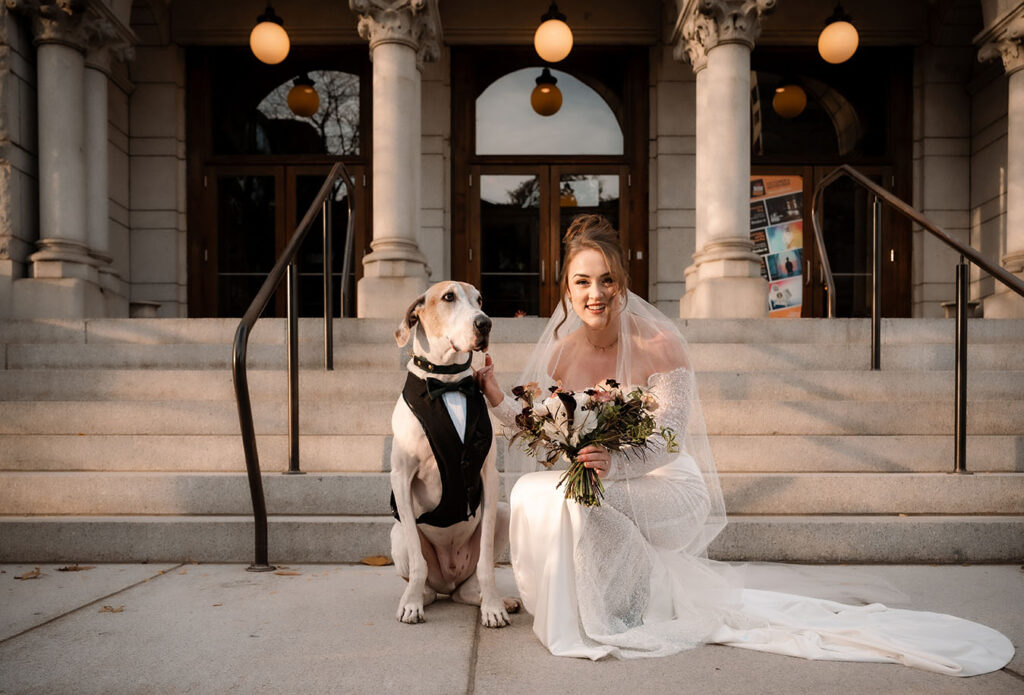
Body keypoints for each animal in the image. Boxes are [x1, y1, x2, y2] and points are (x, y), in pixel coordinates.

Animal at [385, 280, 520, 626]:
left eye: (480, 300)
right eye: (448, 297)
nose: (485, 323)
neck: (446, 382)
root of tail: (449, 579)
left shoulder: (488, 478)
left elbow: (486, 564)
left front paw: (494, 607)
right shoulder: (401, 477)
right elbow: (417, 561)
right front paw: (411, 605)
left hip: (503, 513)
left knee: (467, 587)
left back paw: (489, 598)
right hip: (398, 533)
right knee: (424, 578)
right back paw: (418, 597)